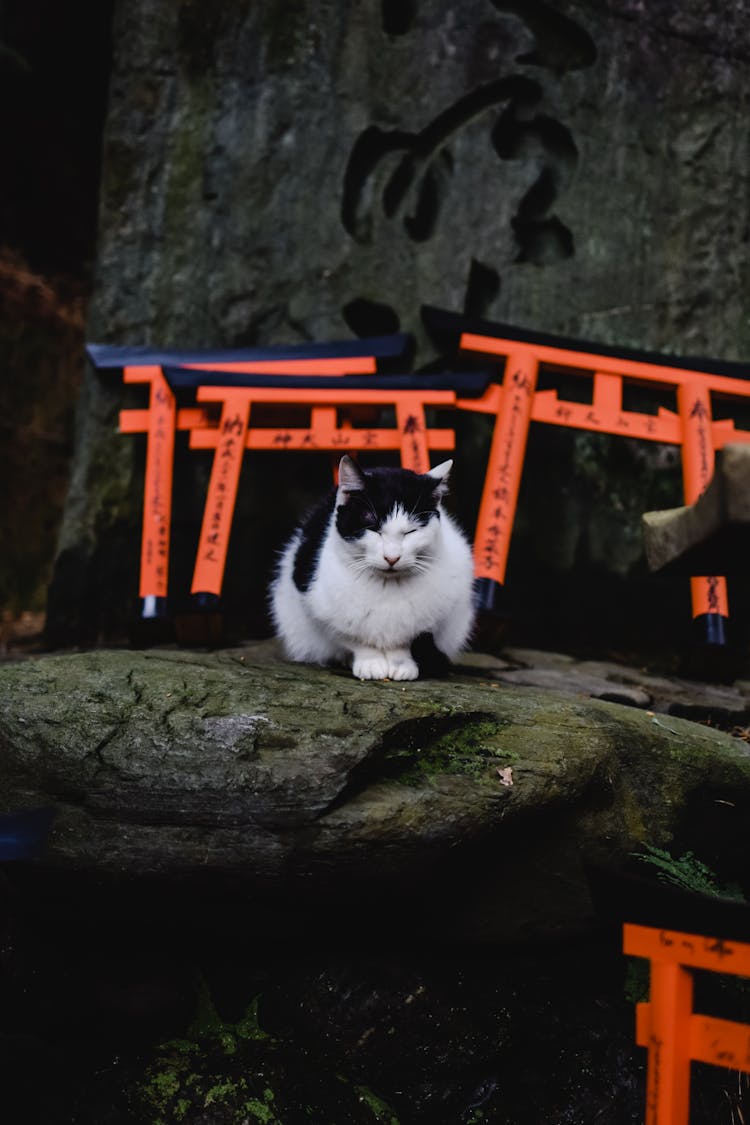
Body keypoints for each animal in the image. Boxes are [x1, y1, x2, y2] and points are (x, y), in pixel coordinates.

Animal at [269, 452, 474, 679]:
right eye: (373, 529)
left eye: (410, 532)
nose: (392, 557)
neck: (387, 587)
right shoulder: (317, 604)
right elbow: (354, 639)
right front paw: (370, 662)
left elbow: (405, 642)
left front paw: (402, 664)